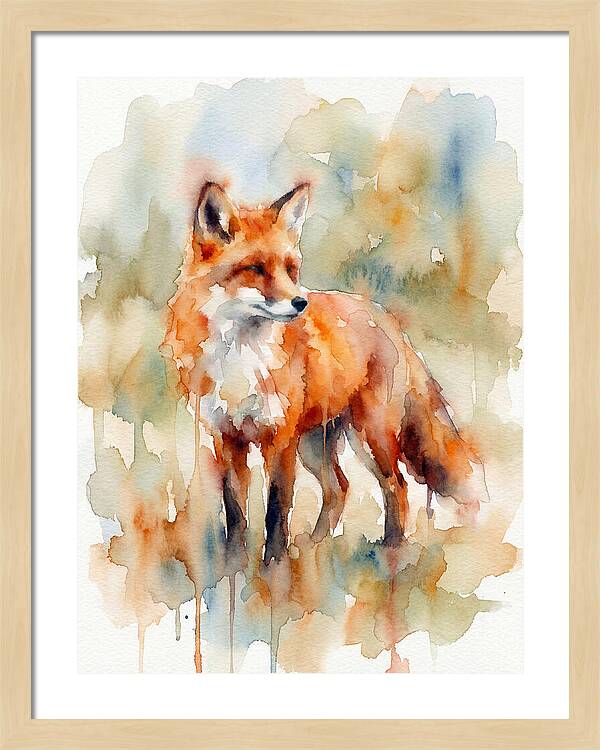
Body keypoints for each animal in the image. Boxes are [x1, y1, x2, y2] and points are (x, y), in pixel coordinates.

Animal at [163, 182, 488, 565]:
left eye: (291, 269)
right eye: (255, 268)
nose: (300, 303)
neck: (241, 357)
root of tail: (386, 318)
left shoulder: (280, 438)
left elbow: (276, 509)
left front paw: (274, 568)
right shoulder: (227, 437)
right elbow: (236, 513)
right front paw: (233, 568)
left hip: (370, 434)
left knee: (396, 485)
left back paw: (390, 552)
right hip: (316, 444)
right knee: (339, 488)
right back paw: (314, 546)